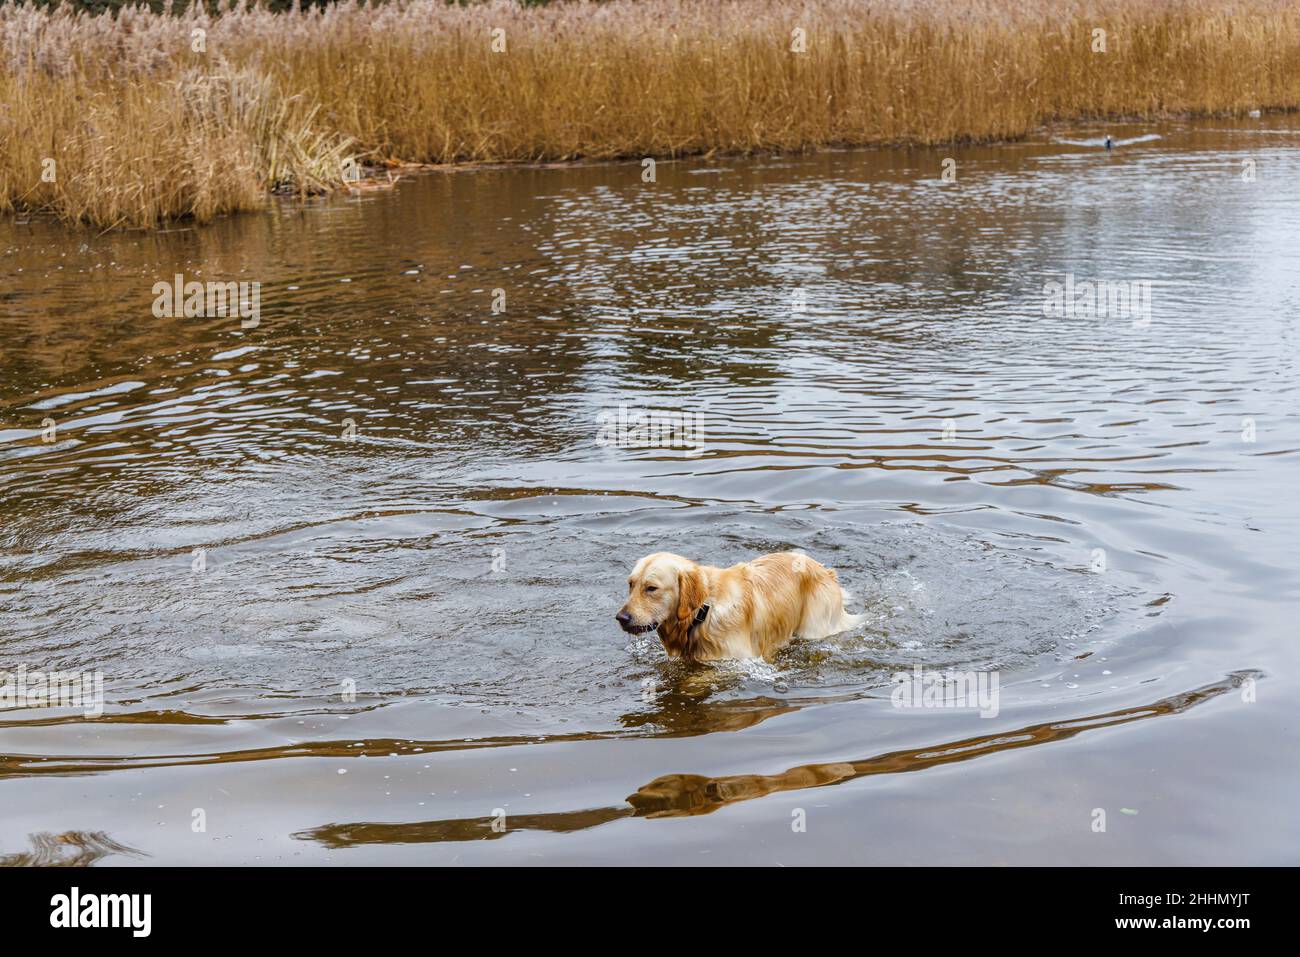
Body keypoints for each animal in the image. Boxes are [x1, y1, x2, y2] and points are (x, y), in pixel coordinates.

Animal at [616, 548, 863, 660]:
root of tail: (825, 570)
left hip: (815, 626)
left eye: (651, 588)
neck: (703, 613)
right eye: (631, 584)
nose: (621, 618)